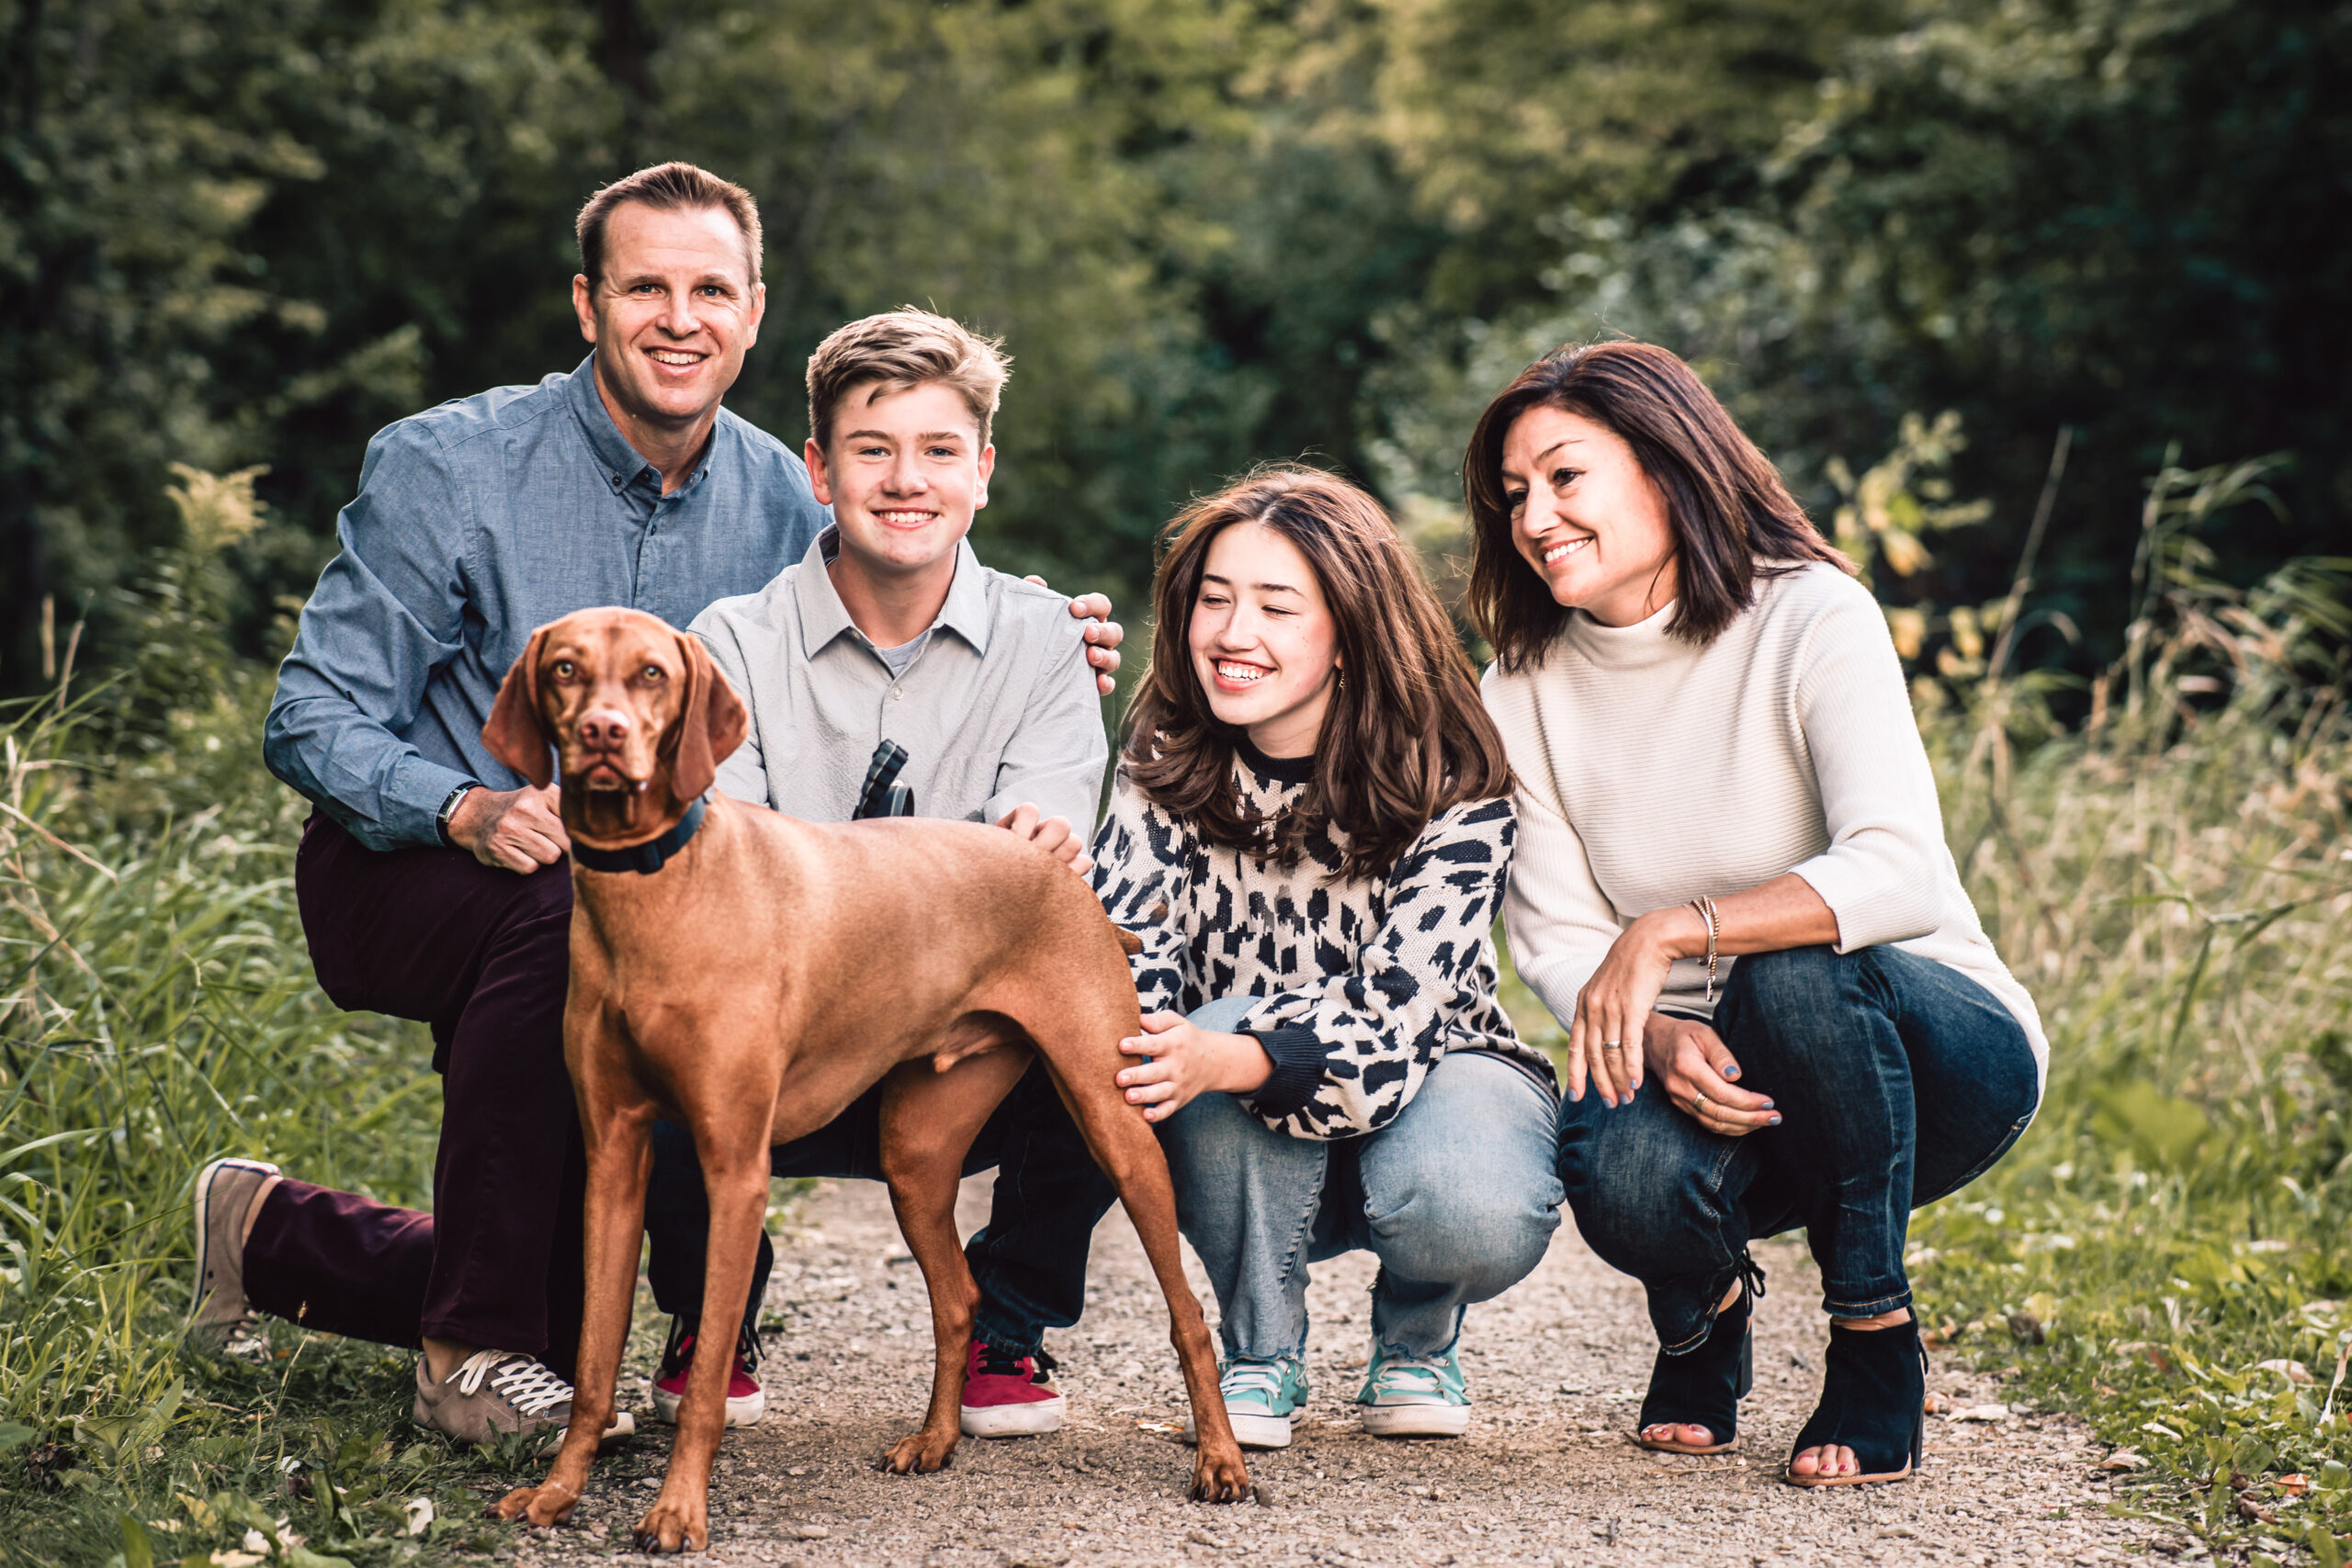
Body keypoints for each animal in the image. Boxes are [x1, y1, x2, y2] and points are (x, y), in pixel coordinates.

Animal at [477, 611, 1250, 1541]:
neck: (658, 887)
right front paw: (558, 1491)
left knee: (1189, 1315)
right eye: (565, 668)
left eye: (654, 673)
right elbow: (595, 1359)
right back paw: (936, 1439)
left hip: (1111, 1115)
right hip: (915, 1156)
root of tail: (1068, 880)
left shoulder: (736, 1170)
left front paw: (678, 1509)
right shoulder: (613, 1164)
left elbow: (704, 1389)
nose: (602, 732)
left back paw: (1221, 1459)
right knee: (956, 1298)